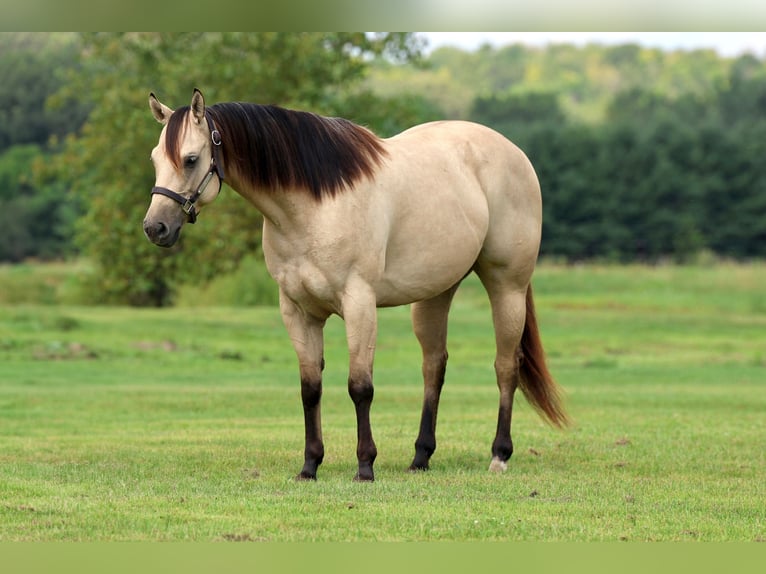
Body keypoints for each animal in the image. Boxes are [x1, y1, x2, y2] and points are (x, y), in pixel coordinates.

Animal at [143, 89, 569, 482]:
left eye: (191, 159)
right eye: (155, 159)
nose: (155, 228)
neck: (314, 206)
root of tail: (513, 152)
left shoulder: (359, 302)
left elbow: (360, 386)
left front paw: (365, 465)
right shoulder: (297, 311)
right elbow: (310, 387)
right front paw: (310, 465)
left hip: (507, 286)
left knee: (506, 367)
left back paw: (499, 455)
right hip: (435, 293)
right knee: (434, 367)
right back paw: (420, 457)